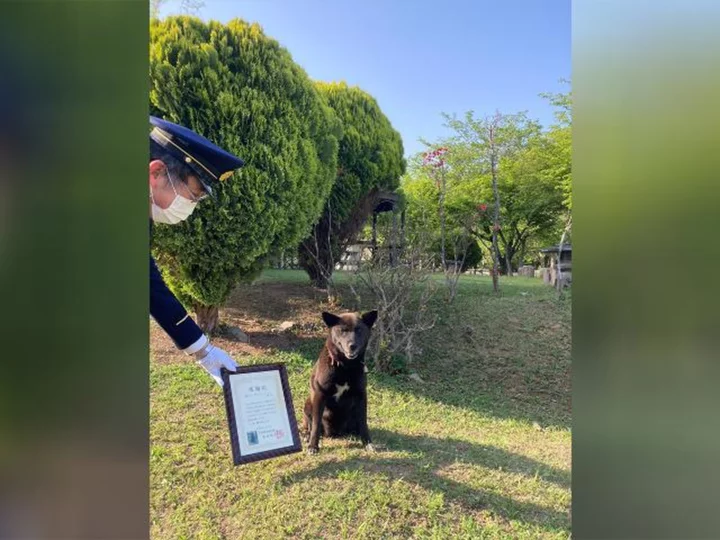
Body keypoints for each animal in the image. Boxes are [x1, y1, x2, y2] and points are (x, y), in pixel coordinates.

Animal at [302, 310, 380, 454]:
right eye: (342, 330)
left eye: (359, 330)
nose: (352, 345)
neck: (345, 366)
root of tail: (335, 433)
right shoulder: (320, 395)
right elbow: (316, 424)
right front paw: (313, 446)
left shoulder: (361, 396)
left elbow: (364, 423)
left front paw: (368, 443)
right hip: (308, 405)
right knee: (309, 425)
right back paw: (306, 436)